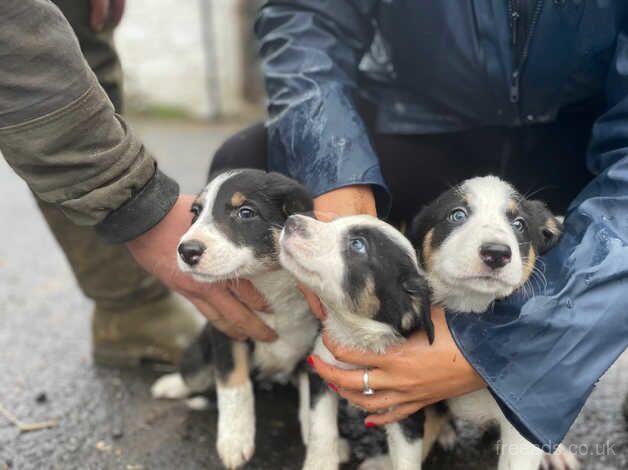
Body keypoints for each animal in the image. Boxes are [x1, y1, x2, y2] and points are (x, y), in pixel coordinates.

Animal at [151, 170, 318, 470]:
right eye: (195, 213)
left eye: (246, 212)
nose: (186, 251)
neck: (268, 287)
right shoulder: (228, 328)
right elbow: (234, 385)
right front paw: (234, 441)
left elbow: (312, 396)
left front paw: (318, 436)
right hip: (196, 360)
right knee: (193, 377)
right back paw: (171, 385)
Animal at [278, 214, 434, 470]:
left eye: (358, 245)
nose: (292, 220)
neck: (356, 335)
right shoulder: (321, 369)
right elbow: (322, 429)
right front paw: (320, 463)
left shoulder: (407, 407)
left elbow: (406, 458)